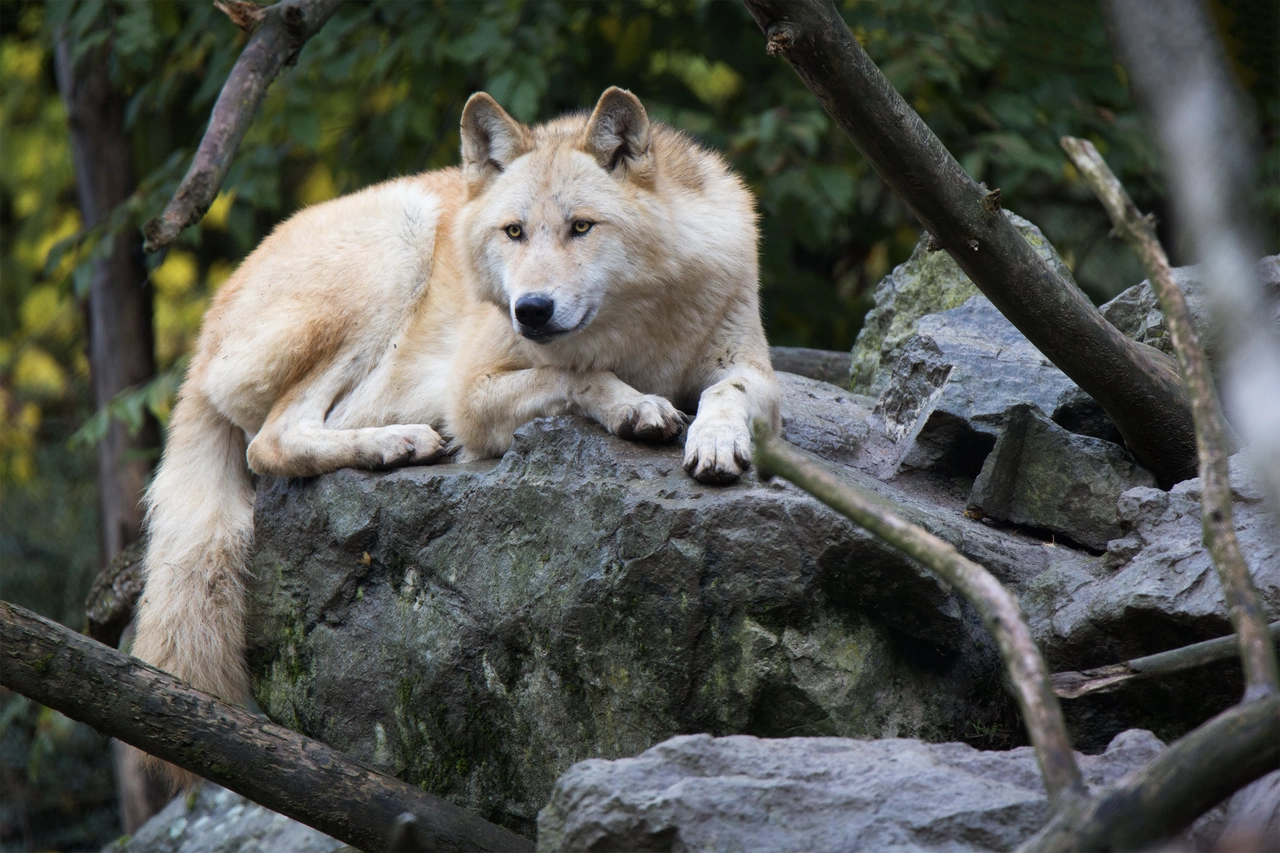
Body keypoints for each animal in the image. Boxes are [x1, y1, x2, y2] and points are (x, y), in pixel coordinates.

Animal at [132, 87, 779, 741]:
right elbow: (578, 375)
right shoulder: (472, 393)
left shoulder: (752, 366)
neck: (638, 331)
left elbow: (726, 394)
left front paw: (715, 443)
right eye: (514, 231)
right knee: (273, 441)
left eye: (581, 227)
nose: (531, 310)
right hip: (398, 246)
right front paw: (637, 405)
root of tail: (205, 329)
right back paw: (400, 443)